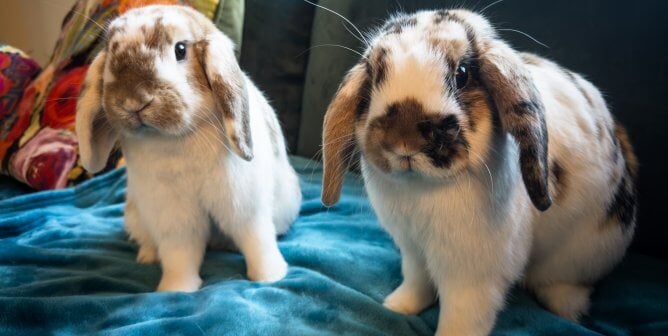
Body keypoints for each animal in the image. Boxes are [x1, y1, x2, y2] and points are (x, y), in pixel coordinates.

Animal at [74, 5, 302, 294]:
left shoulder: (244, 205)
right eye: (111, 51)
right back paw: (147, 256)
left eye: (180, 49)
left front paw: (270, 276)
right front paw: (176, 289)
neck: (177, 138)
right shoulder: (173, 216)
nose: (134, 102)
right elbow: (179, 253)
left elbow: (256, 241)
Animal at [320, 8, 640, 336]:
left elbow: (463, 315)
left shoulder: (473, 274)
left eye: (462, 74)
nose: (403, 139)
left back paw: (565, 309)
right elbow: (417, 282)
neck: (423, 187)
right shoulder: (414, 252)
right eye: (374, 77)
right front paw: (397, 306)